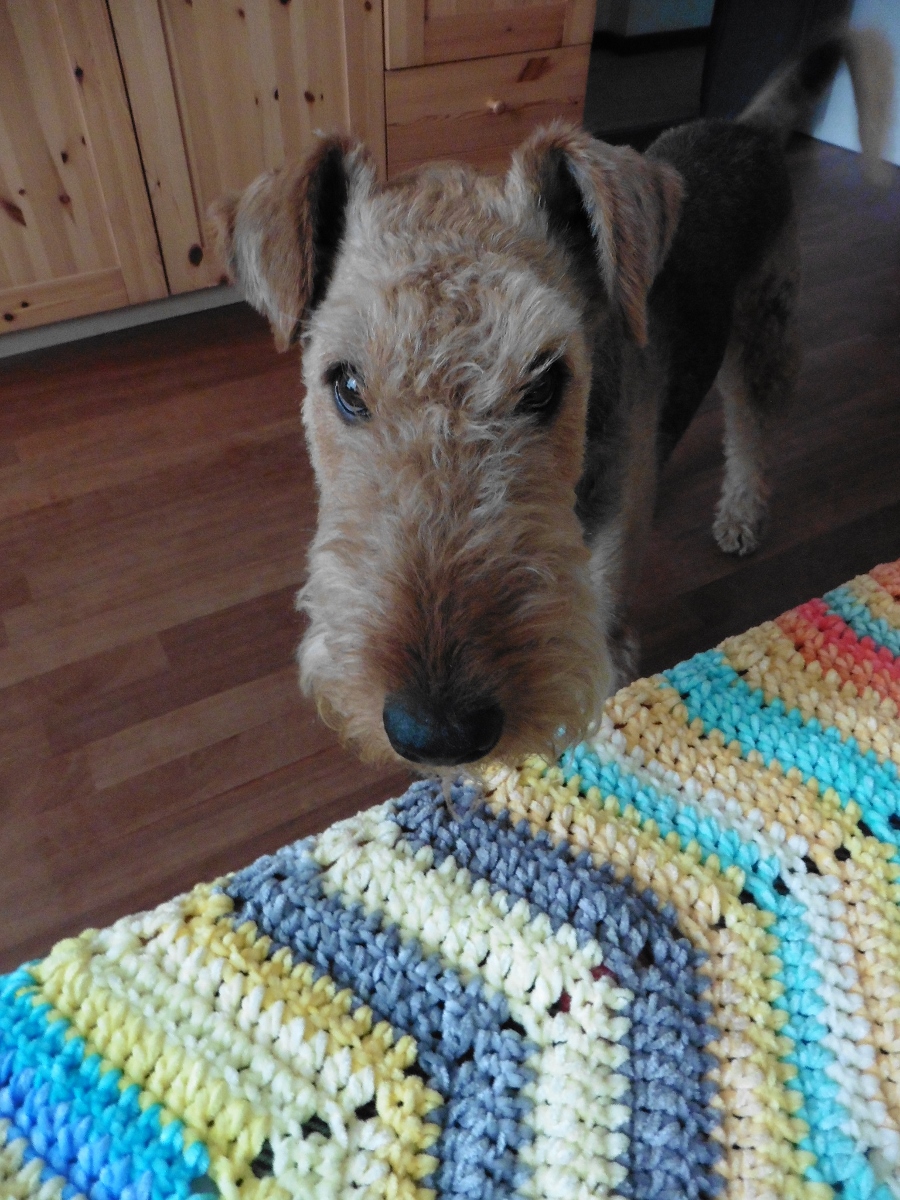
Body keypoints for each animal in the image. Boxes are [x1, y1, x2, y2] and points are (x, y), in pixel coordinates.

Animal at [210, 29, 893, 774]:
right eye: (347, 386)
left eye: (543, 382)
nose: (439, 732)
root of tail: (750, 129)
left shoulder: (604, 627)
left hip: (764, 334)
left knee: (752, 433)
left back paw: (741, 514)